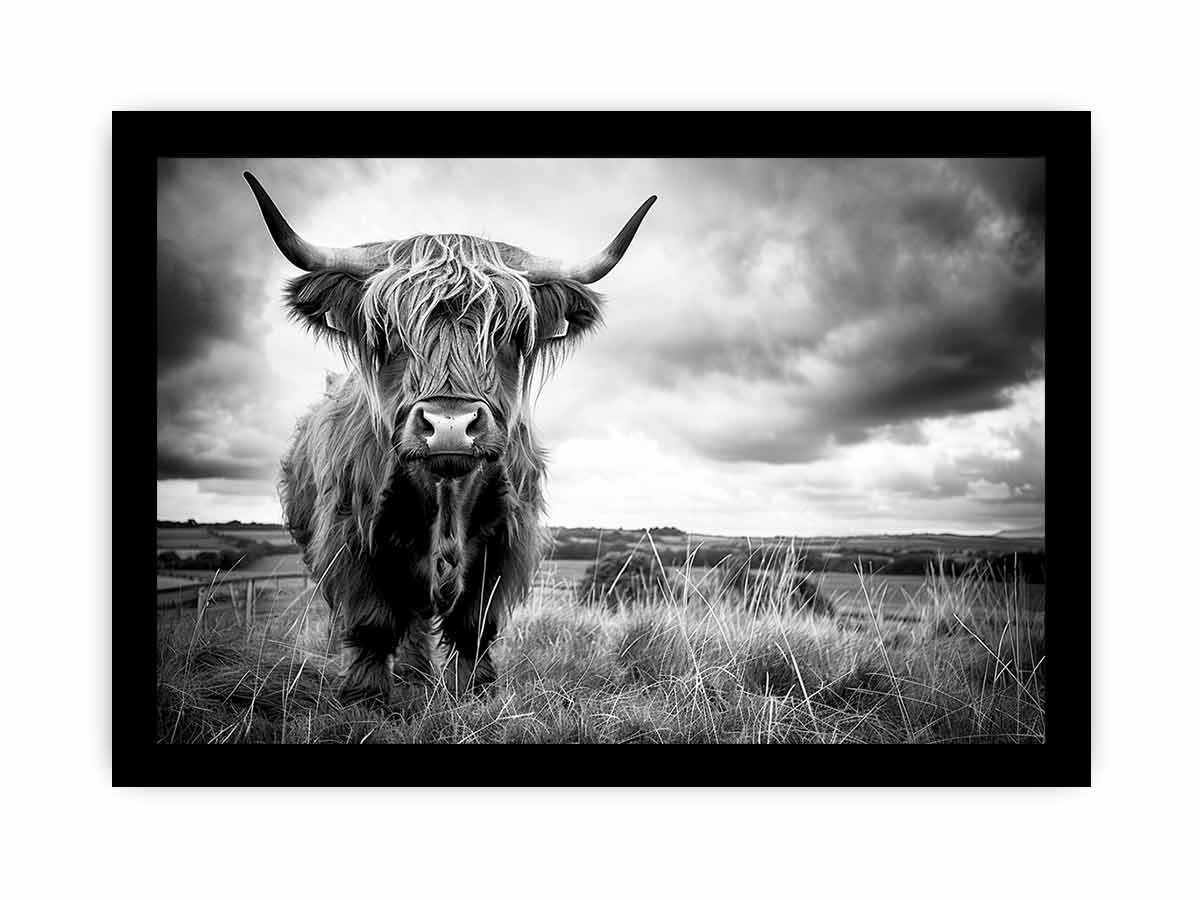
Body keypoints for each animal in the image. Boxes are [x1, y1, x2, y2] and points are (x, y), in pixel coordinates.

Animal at [244, 172, 655, 703]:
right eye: (387, 331)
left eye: (508, 332)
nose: (450, 425)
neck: (447, 495)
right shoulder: (350, 536)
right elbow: (373, 621)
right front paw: (366, 696)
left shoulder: (505, 539)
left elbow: (475, 624)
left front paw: (475, 691)